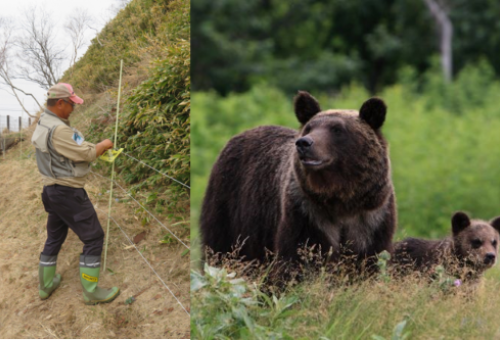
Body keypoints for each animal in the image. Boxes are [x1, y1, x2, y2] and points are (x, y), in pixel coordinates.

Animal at [200, 91, 398, 270]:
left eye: (337, 129)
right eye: (309, 127)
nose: (304, 143)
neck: (341, 197)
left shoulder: (371, 216)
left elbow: (368, 258)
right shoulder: (307, 212)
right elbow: (301, 256)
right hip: (230, 207)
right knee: (221, 248)